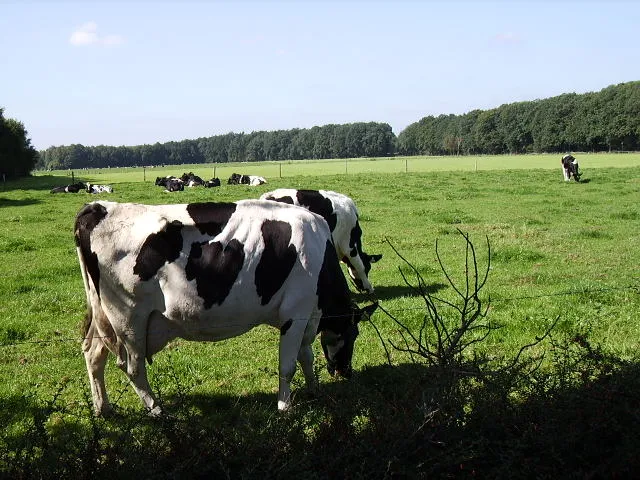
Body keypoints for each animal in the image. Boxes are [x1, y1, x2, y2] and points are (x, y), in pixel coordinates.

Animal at [75, 200, 377, 416]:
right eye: (353, 335)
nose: (346, 372)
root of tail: (98, 208)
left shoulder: (307, 317)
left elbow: (307, 356)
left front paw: (315, 389)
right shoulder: (295, 314)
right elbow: (288, 365)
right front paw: (285, 407)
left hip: (104, 318)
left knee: (93, 354)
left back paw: (103, 408)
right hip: (128, 319)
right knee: (133, 367)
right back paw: (157, 410)